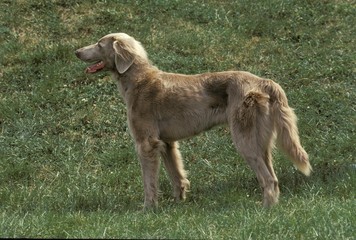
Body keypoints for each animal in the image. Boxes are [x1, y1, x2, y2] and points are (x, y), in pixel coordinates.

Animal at [76, 32, 312, 208]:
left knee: (268, 179)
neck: (139, 80)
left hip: (244, 140)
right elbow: (177, 176)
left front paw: (148, 208)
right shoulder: (167, 143)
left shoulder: (147, 143)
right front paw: (178, 204)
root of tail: (264, 82)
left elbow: (149, 182)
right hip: (261, 141)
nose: (76, 51)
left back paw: (265, 210)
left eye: (99, 44)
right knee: (273, 177)